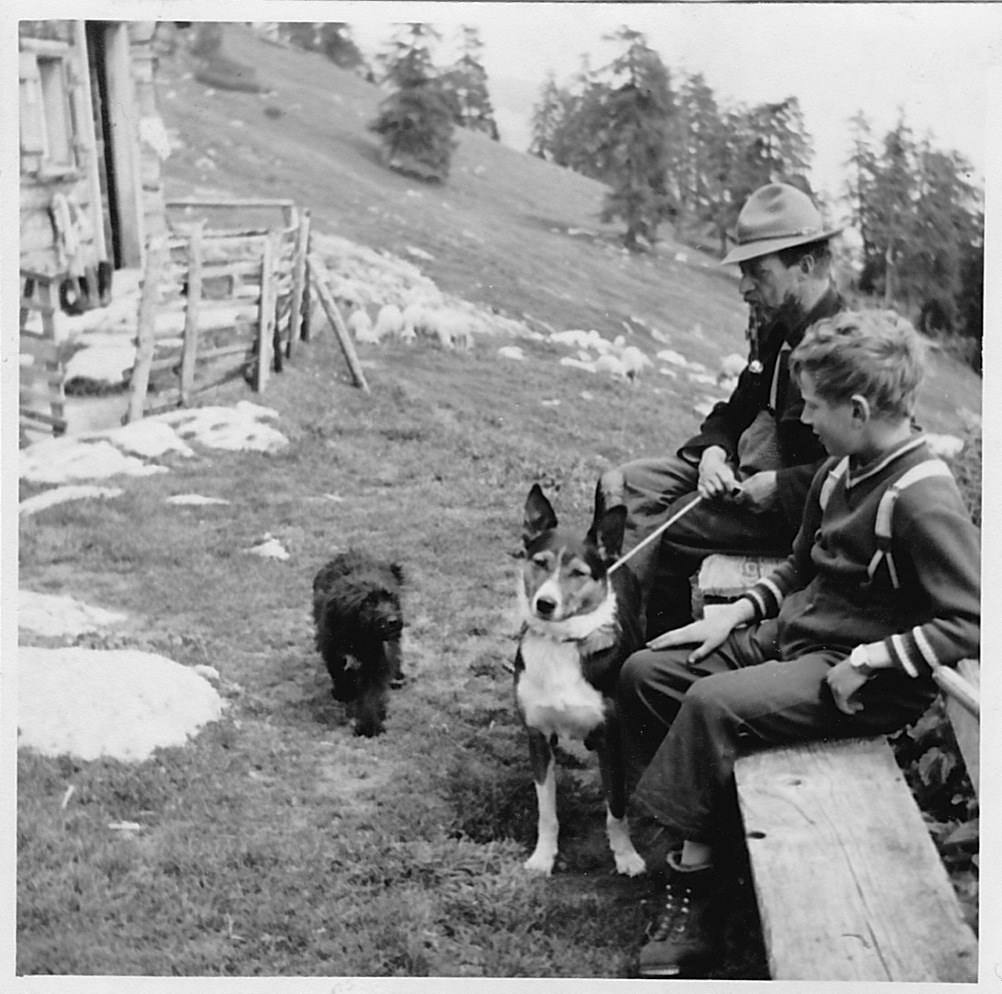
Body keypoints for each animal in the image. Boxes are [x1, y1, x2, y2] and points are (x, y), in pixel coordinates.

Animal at [312, 553, 406, 737]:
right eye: (368, 602)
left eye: (390, 597)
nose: (393, 621)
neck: (360, 636)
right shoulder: (333, 651)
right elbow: (341, 675)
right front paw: (345, 693)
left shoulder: (378, 658)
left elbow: (372, 692)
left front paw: (371, 725)